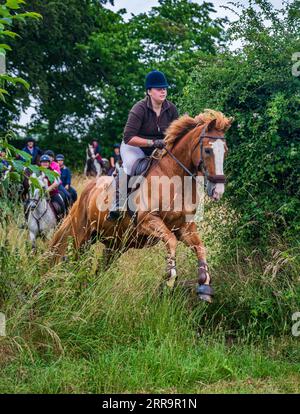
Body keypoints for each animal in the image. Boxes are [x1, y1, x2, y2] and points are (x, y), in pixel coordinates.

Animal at [50, 110, 231, 302]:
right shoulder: (147, 220)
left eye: (225, 151)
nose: (218, 191)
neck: (175, 180)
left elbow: (200, 248)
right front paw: (170, 279)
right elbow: (171, 241)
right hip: (81, 237)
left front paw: (205, 286)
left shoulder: (185, 227)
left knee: (99, 268)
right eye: (208, 150)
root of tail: (86, 190)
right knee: (74, 261)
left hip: (115, 245)